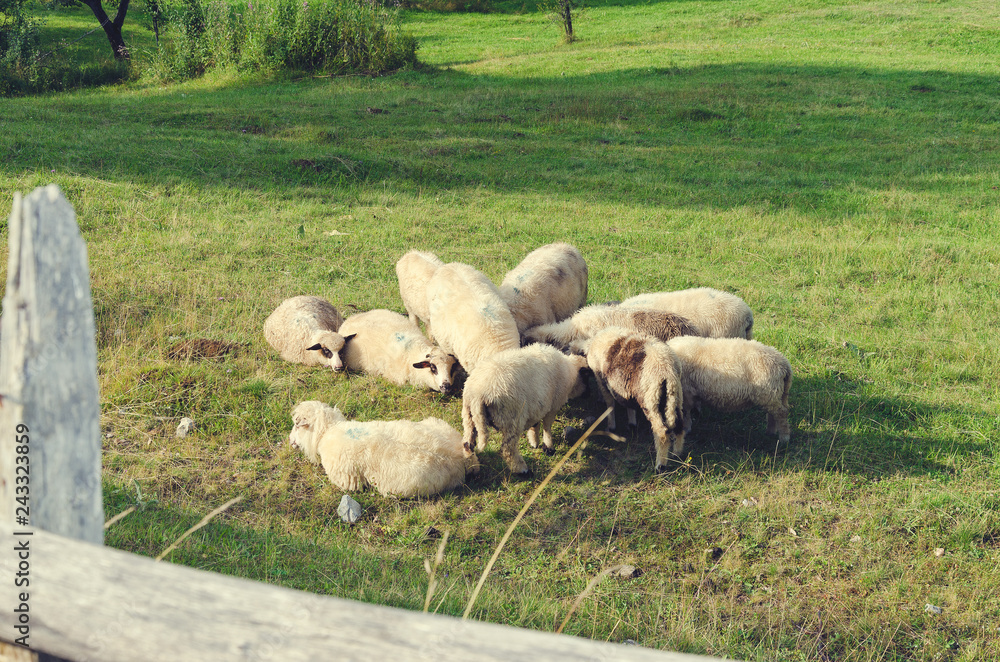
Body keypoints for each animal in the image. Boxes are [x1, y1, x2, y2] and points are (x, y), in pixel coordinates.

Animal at [461, 344, 589, 475]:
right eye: (587, 377)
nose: (588, 395)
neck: (570, 370)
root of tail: (478, 394)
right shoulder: (553, 406)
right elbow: (547, 427)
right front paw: (548, 447)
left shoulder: (538, 405)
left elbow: (535, 425)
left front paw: (534, 442)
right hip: (512, 419)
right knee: (508, 449)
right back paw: (523, 470)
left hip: (468, 416)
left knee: (467, 444)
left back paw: (472, 469)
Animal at [581, 328, 687, 471]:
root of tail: (666, 371)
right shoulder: (624, 388)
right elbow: (628, 405)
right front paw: (632, 424)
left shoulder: (602, 381)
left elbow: (610, 405)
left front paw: (611, 427)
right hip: (676, 396)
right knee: (679, 424)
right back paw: (677, 455)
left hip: (651, 400)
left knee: (662, 432)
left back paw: (660, 465)